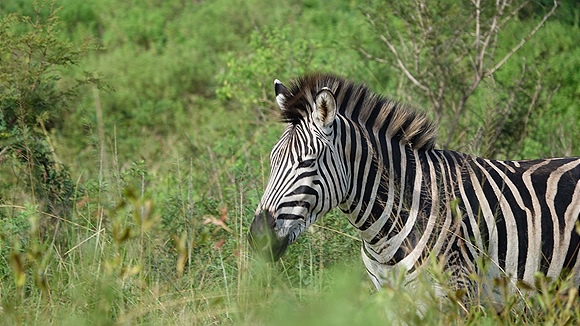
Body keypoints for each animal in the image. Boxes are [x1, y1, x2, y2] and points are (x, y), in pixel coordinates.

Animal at [248, 72, 580, 304]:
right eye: (272, 160)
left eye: (308, 162)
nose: (258, 238)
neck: (382, 236)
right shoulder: (392, 299)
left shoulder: (455, 295)